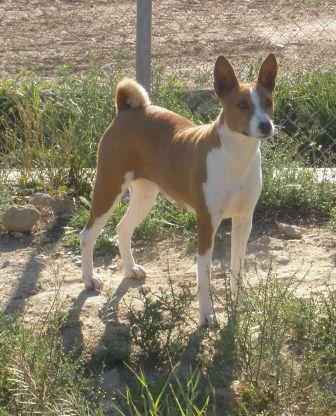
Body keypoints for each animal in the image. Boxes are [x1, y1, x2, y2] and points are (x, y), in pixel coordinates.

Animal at [79, 52, 278, 324]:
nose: (266, 125)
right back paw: (89, 279)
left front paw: (241, 303)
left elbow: (237, 267)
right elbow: (204, 276)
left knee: (122, 228)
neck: (236, 157)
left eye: (268, 102)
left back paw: (130, 269)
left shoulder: (243, 220)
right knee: (87, 235)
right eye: (242, 105)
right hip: (109, 188)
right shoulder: (206, 223)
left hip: (145, 195)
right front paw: (206, 315)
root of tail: (126, 111)